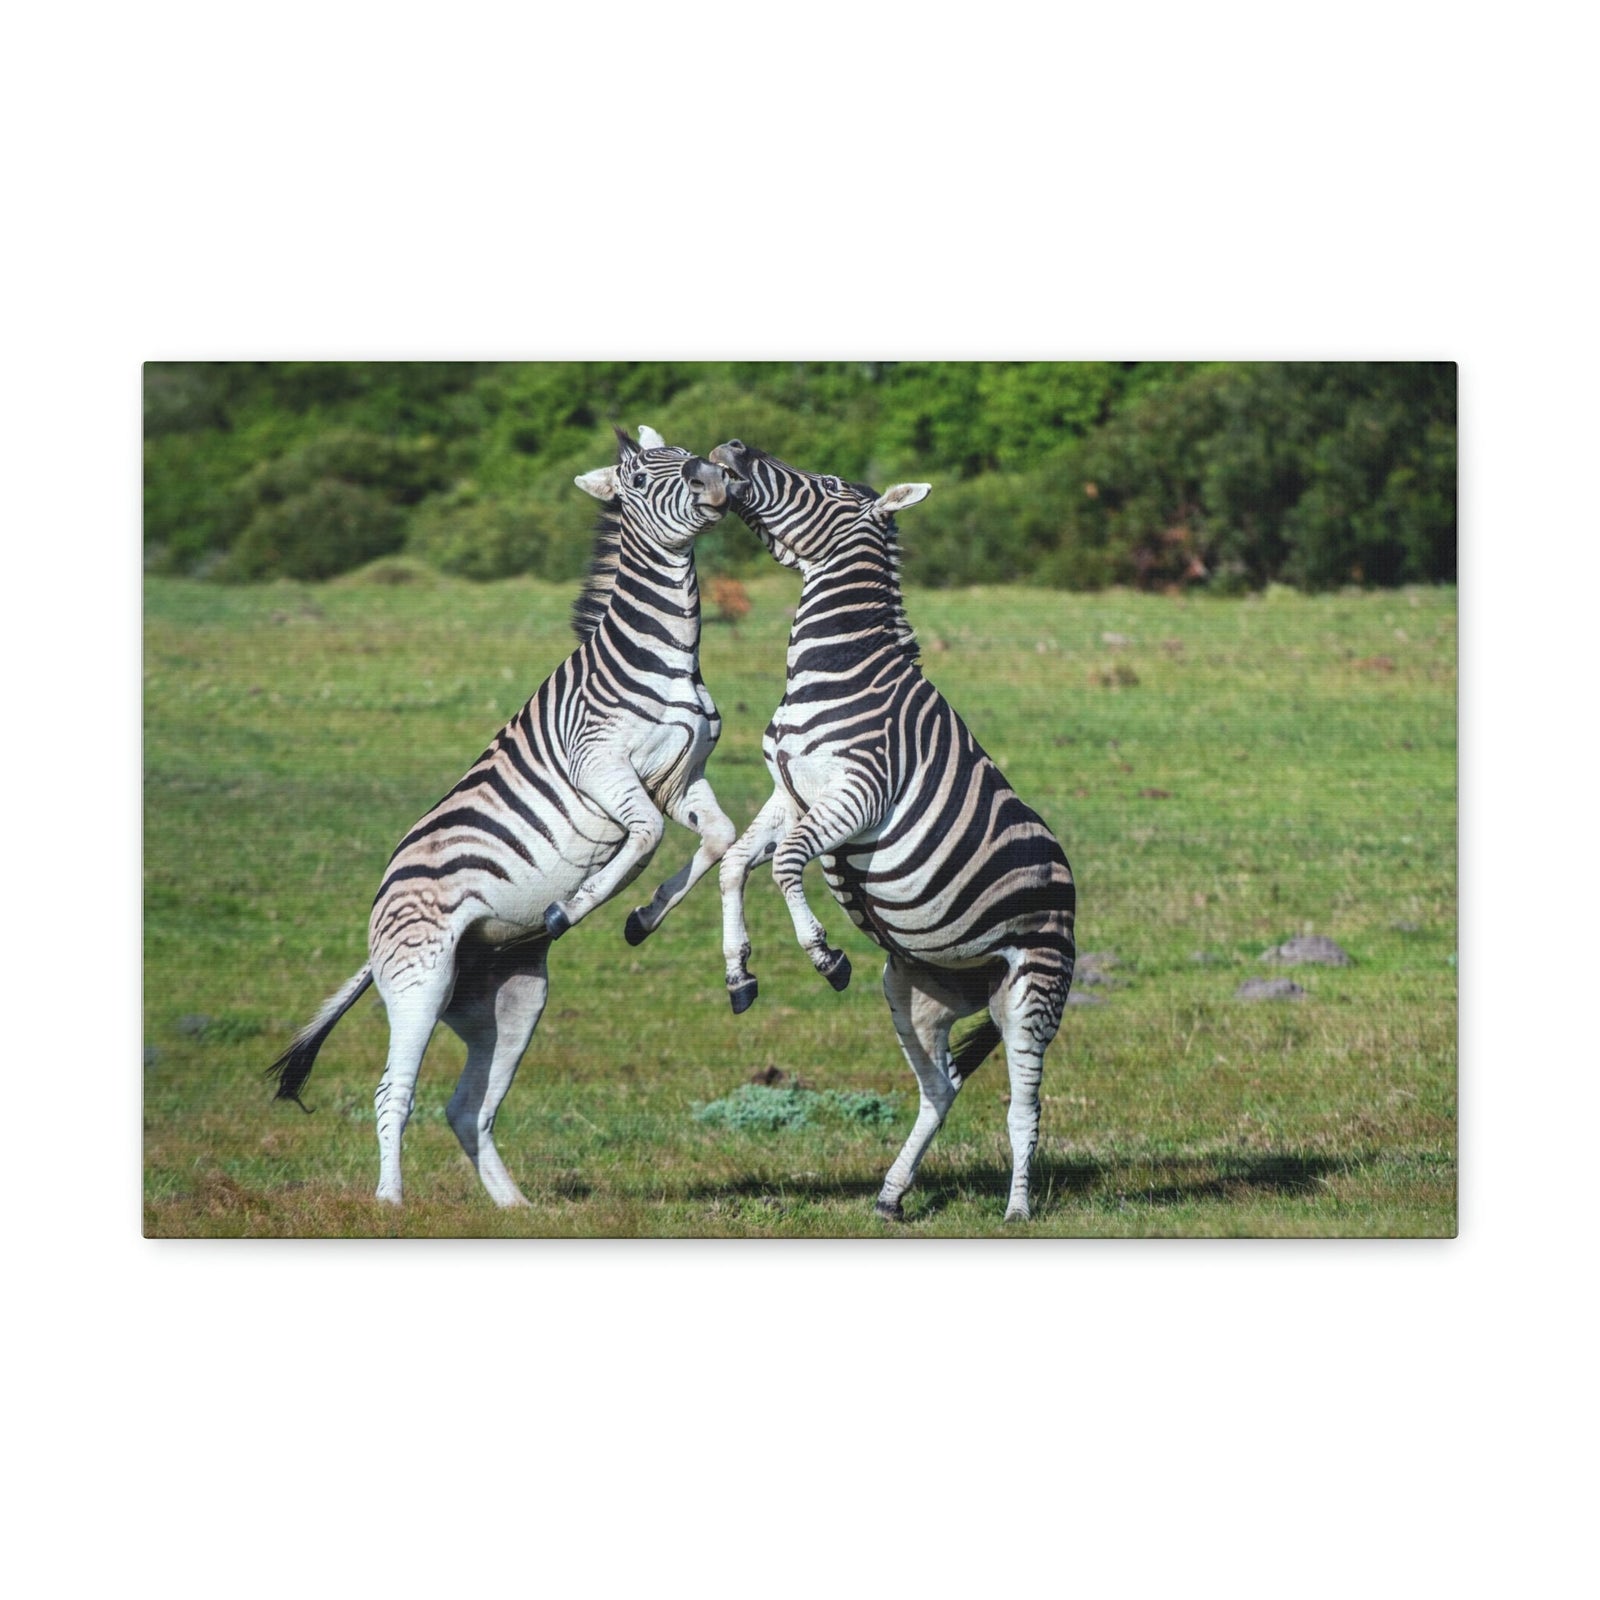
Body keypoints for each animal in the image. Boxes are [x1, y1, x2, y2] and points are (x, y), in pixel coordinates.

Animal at [267, 425, 737, 1207]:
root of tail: (380, 904)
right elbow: (642, 839)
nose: (718, 482)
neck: (667, 656)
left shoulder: (681, 778)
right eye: (643, 478)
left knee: (469, 1106)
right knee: (393, 1091)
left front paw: (648, 921)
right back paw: (390, 1202)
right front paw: (577, 904)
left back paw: (513, 1205)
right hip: (420, 981)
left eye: (689, 454)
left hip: (508, 998)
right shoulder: (601, 768)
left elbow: (719, 840)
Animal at [707, 440, 1076, 1222]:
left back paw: (1018, 1210)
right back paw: (890, 1194)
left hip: (1033, 987)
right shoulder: (789, 792)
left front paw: (822, 953)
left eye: (824, 483)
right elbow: (734, 865)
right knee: (940, 1087)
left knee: (1024, 1105)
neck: (836, 664)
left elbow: (785, 863)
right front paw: (739, 972)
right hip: (917, 991)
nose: (730, 450)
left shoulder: (858, 793)